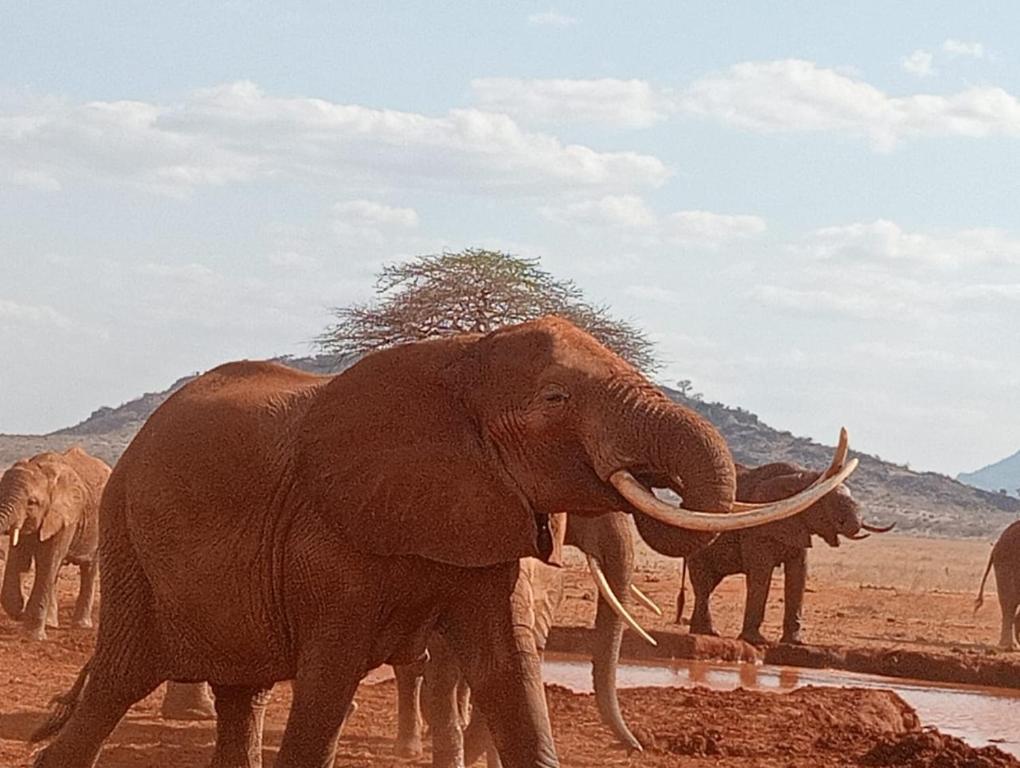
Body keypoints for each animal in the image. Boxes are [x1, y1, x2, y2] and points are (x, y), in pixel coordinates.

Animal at [0, 446, 109, 636]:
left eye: (32, 502)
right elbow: (20, 558)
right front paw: (22, 611)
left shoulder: (67, 516)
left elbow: (47, 561)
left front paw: (33, 635)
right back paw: (51, 624)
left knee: (88, 568)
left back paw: (80, 626)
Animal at [29, 316, 852, 766]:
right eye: (555, 399)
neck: (460, 354)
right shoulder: (328, 540)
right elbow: (327, 688)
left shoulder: (484, 516)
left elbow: (507, 676)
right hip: (128, 539)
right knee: (119, 682)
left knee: (243, 696)